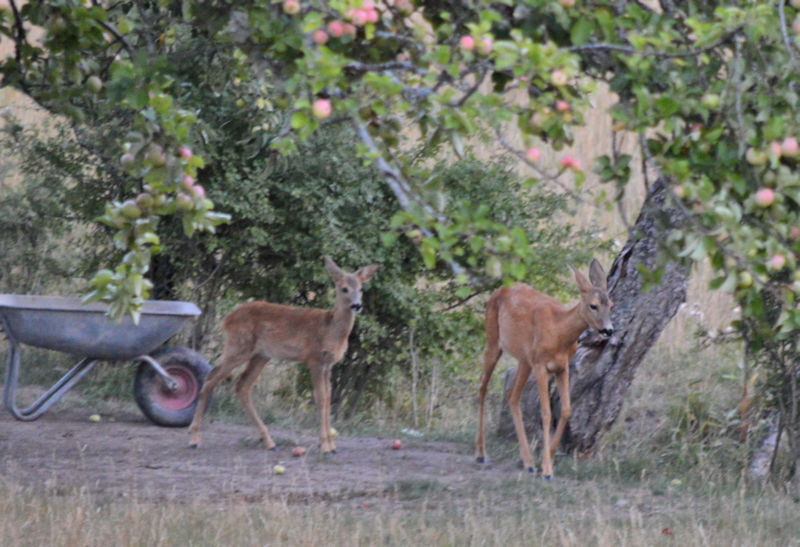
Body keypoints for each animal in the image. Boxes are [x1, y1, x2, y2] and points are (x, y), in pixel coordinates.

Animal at [192, 256, 382, 454]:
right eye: (344, 288)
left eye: (361, 288)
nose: (357, 305)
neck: (331, 330)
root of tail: (227, 319)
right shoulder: (313, 358)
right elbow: (320, 398)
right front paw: (325, 445)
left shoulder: (328, 364)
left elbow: (328, 399)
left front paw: (332, 445)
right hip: (238, 346)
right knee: (211, 378)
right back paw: (194, 439)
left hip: (260, 355)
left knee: (242, 385)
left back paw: (269, 442)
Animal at [476, 262, 612, 480]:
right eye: (593, 305)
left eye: (611, 305)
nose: (609, 330)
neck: (558, 333)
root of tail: (499, 289)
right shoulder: (541, 365)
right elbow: (546, 412)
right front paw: (547, 470)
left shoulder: (562, 367)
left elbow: (566, 409)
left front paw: (546, 458)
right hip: (494, 340)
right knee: (482, 387)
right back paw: (481, 454)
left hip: (524, 360)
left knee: (512, 397)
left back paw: (528, 462)